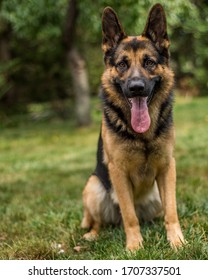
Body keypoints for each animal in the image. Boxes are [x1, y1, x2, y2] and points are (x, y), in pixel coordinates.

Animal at [81, 3, 185, 249]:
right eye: (122, 64)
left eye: (149, 62)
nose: (136, 87)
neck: (142, 135)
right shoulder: (118, 172)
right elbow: (129, 215)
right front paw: (135, 246)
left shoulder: (167, 167)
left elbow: (172, 211)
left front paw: (176, 241)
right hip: (93, 186)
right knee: (101, 221)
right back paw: (92, 235)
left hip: (155, 195)